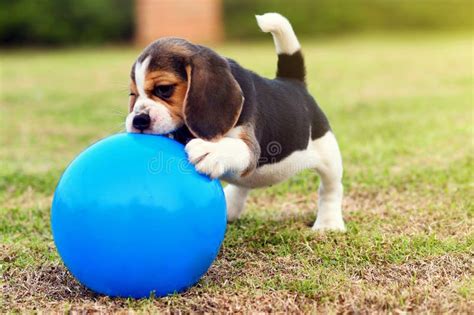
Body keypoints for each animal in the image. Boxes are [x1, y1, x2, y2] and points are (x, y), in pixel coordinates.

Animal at [126, 12, 344, 232]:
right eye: (132, 94)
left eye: (164, 89)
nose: (138, 120)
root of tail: (293, 83)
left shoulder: (250, 146)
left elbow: (236, 147)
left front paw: (211, 150)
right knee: (242, 184)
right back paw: (230, 206)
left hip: (328, 155)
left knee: (330, 188)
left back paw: (328, 223)